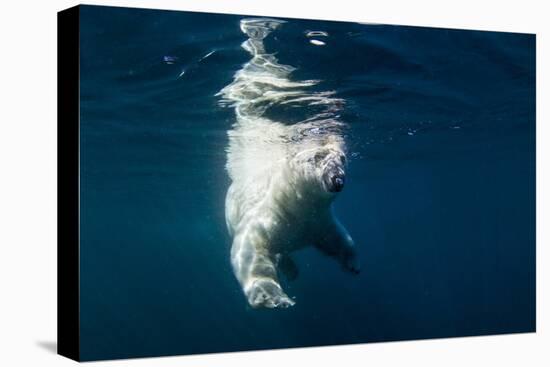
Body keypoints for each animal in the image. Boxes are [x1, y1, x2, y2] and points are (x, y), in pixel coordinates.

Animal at [220, 18, 362, 310]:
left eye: (342, 158)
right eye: (316, 157)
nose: (337, 179)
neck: (295, 206)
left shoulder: (318, 222)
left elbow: (338, 238)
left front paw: (353, 264)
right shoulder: (265, 218)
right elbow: (249, 251)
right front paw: (271, 296)